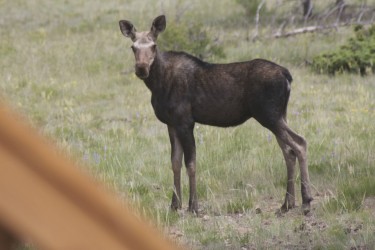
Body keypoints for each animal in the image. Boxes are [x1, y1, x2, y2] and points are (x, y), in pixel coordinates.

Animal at [120, 15, 314, 214]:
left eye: (153, 46)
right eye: (133, 47)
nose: (141, 68)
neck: (157, 84)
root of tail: (287, 76)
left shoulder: (185, 121)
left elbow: (190, 164)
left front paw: (193, 206)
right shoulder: (171, 123)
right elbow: (175, 163)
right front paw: (174, 205)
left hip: (269, 115)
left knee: (300, 143)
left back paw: (306, 201)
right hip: (280, 115)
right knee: (288, 152)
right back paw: (287, 204)